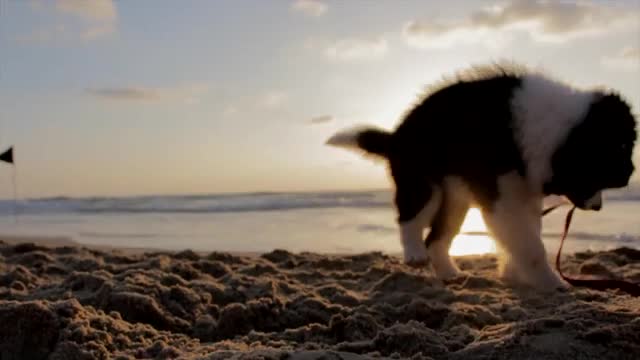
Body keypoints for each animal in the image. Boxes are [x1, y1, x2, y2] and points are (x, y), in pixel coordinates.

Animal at [328, 63, 636, 292]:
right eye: (601, 172)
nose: (598, 207)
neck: (557, 131)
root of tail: (396, 137)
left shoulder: (522, 193)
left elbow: (525, 235)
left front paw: (515, 273)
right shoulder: (504, 195)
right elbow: (530, 244)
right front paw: (553, 283)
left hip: (456, 199)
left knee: (437, 238)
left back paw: (449, 272)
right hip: (424, 181)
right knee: (411, 218)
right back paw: (414, 253)